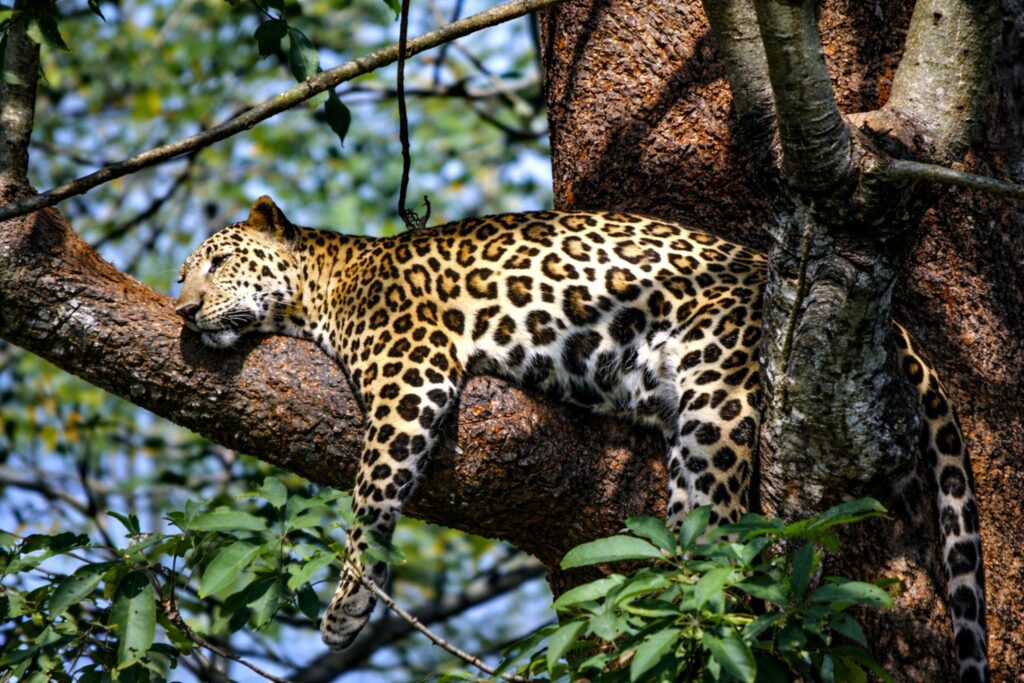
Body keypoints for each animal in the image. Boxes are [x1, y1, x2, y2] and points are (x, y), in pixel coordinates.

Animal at [175, 196, 988, 682]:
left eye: (217, 261)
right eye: (184, 275)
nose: (182, 310)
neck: (323, 287)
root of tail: (897, 331)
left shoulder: (412, 376)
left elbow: (371, 492)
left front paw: (348, 605)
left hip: (721, 392)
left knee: (724, 529)